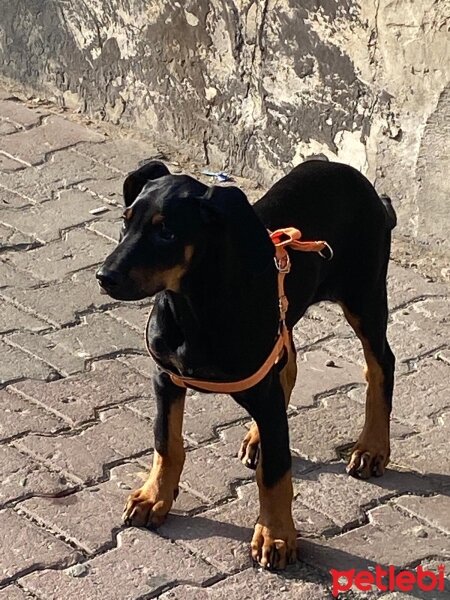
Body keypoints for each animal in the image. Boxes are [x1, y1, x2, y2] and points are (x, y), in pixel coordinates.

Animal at [96, 157, 396, 568]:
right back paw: (257, 439)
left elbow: (275, 473)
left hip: (364, 296)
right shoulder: (165, 379)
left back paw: (371, 447)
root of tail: (353, 176)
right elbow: (166, 442)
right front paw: (153, 496)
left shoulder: (260, 392)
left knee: (381, 364)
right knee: (289, 366)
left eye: (167, 234)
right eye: (125, 221)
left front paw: (276, 535)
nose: (104, 277)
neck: (194, 308)